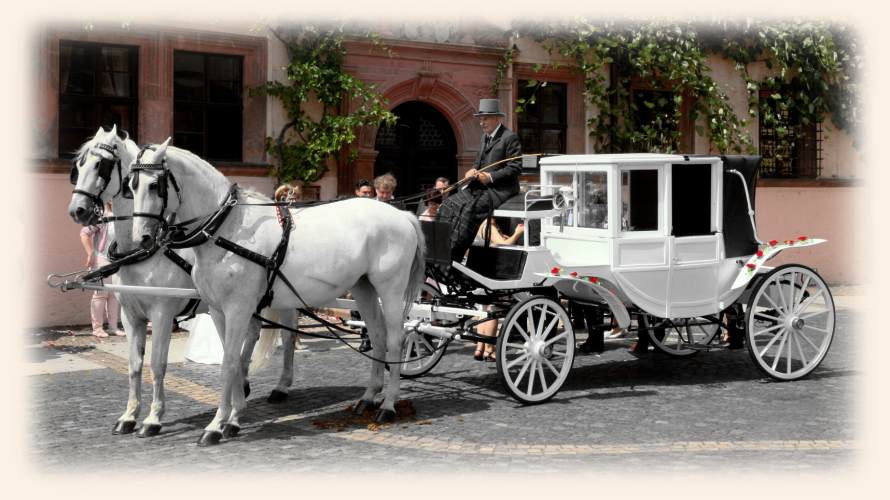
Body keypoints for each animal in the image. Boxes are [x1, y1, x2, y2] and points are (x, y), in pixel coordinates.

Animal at [66, 129, 300, 438]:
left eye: (100, 165)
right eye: (77, 167)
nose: (77, 211)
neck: (141, 251)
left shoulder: (162, 313)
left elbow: (157, 364)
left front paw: (153, 419)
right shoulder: (130, 315)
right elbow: (134, 365)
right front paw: (129, 416)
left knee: (288, 336)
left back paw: (281, 386)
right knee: (250, 334)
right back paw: (243, 383)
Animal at [125, 138, 426, 446]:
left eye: (154, 185)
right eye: (131, 186)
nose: (141, 239)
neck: (229, 229)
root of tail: (402, 214)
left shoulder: (237, 309)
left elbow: (229, 363)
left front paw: (216, 425)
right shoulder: (219, 311)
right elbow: (233, 362)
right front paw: (234, 418)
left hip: (390, 289)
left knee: (395, 340)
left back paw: (388, 405)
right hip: (363, 288)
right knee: (377, 337)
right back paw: (368, 398)